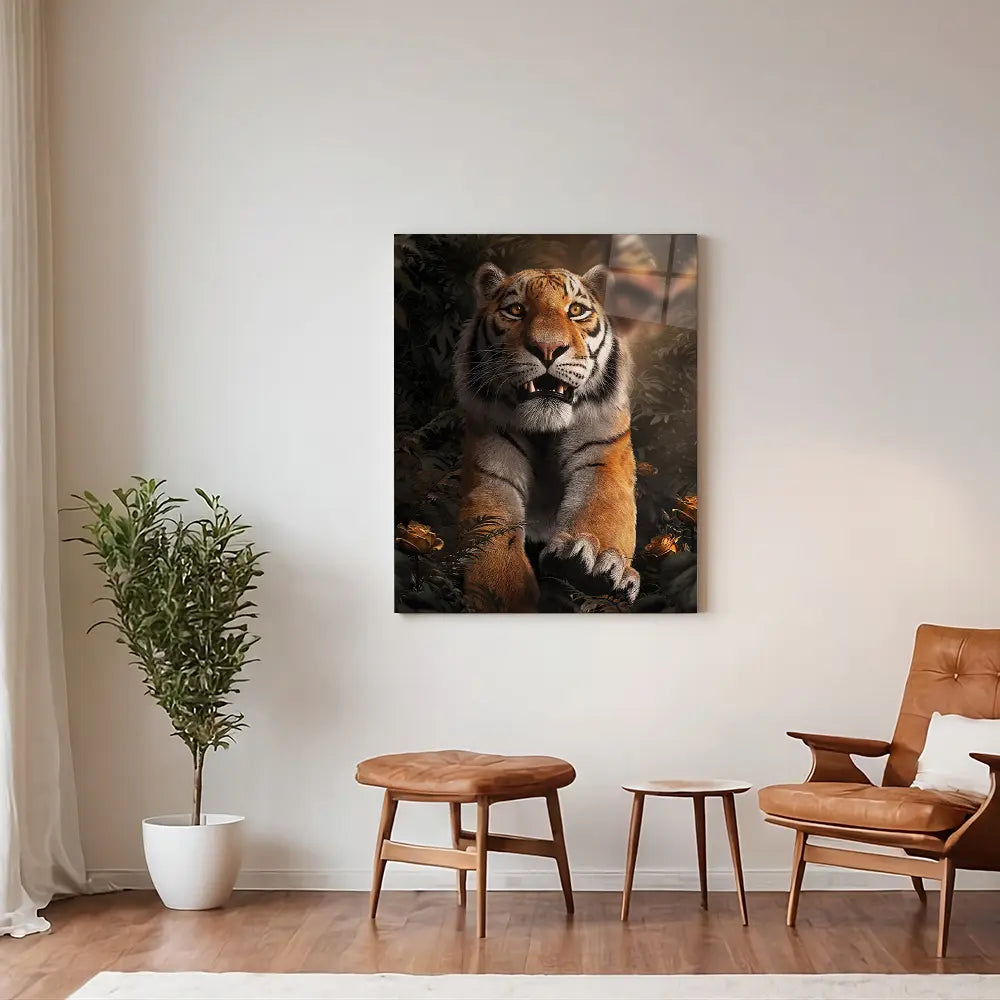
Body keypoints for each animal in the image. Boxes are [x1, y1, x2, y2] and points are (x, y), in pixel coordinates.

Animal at [454, 262, 638, 612]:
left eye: (576, 311)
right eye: (516, 311)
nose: (548, 348)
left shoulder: (602, 459)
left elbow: (602, 508)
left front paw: (590, 567)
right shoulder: (492, 474)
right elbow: (495, 541)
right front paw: (507, 598)